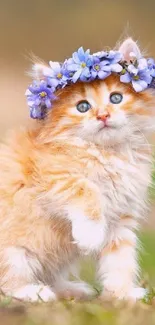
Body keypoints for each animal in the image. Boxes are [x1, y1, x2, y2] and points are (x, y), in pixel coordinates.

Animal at [0, 38, 154, 302]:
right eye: (82, 107)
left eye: (115, 98)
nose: (103, 115)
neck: (108, 153)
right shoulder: (50, 176)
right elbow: (85, 188)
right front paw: (90, 235)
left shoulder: (121, 218)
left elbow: (120, 259)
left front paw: (122, 294)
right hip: (14, 253)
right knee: (8, 284)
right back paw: (35, 292)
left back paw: (71, 289)